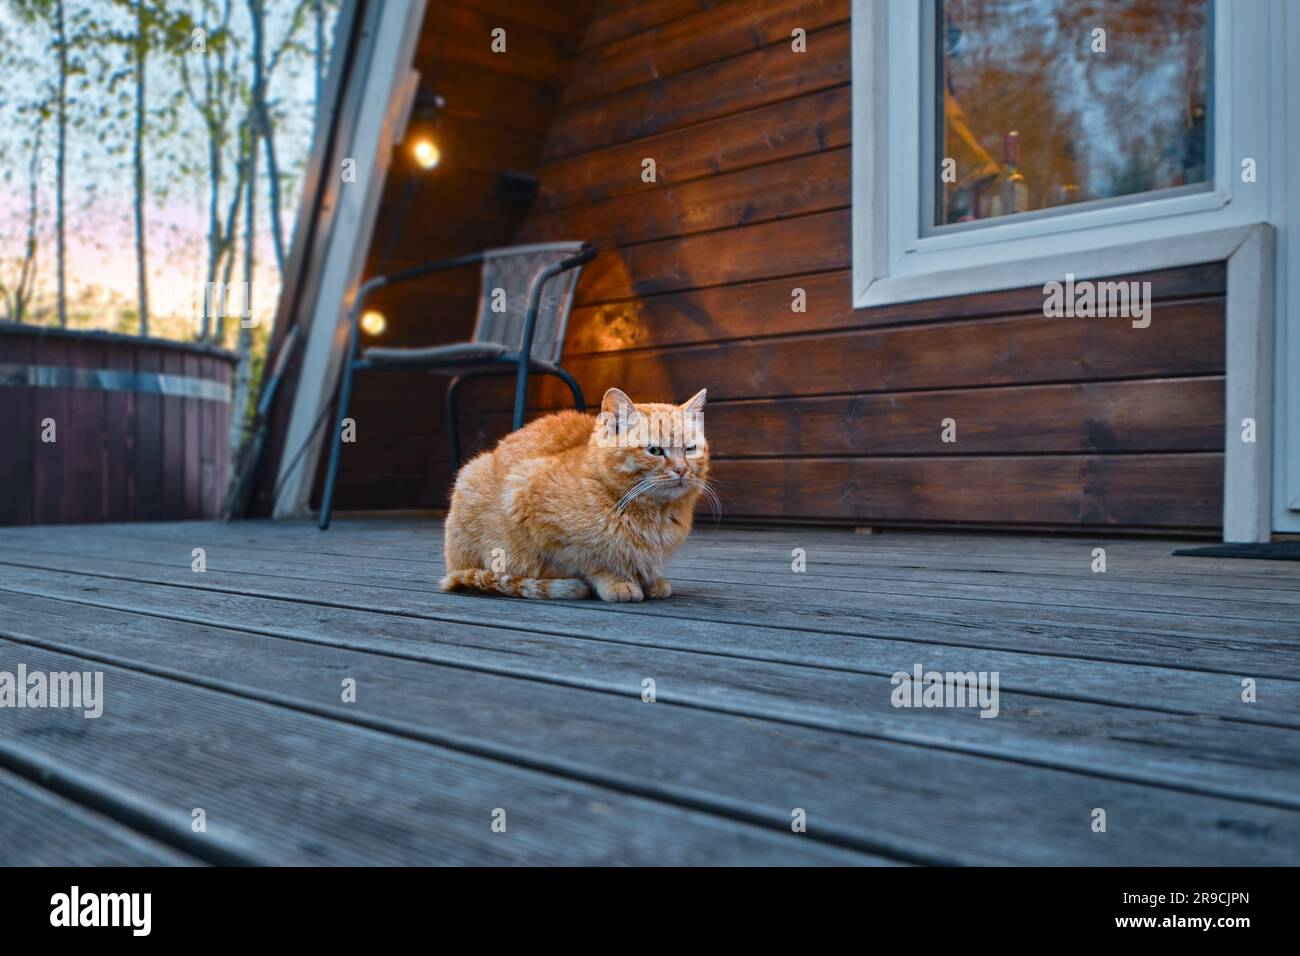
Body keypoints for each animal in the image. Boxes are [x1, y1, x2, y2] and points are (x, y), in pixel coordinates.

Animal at [444, 387, 712, 598]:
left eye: (690, 449)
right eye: (655, 451)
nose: (682, 470)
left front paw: (650, 580)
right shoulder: (525, 499)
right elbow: (590, 561)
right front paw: (616, 581)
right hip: (472, 477)